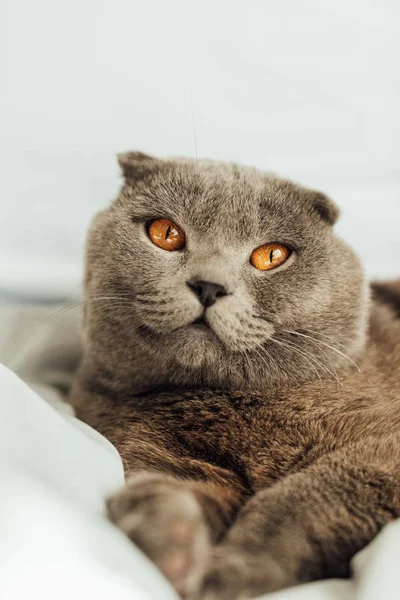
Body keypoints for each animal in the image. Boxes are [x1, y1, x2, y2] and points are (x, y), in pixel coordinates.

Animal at [69, 154, 400, 600]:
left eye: (271, 255)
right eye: (165, 233)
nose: (209, 286)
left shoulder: (381, 448)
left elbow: (304, 499)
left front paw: (231, 573)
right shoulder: (159, 454)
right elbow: (169, 491)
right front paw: (166, 541)